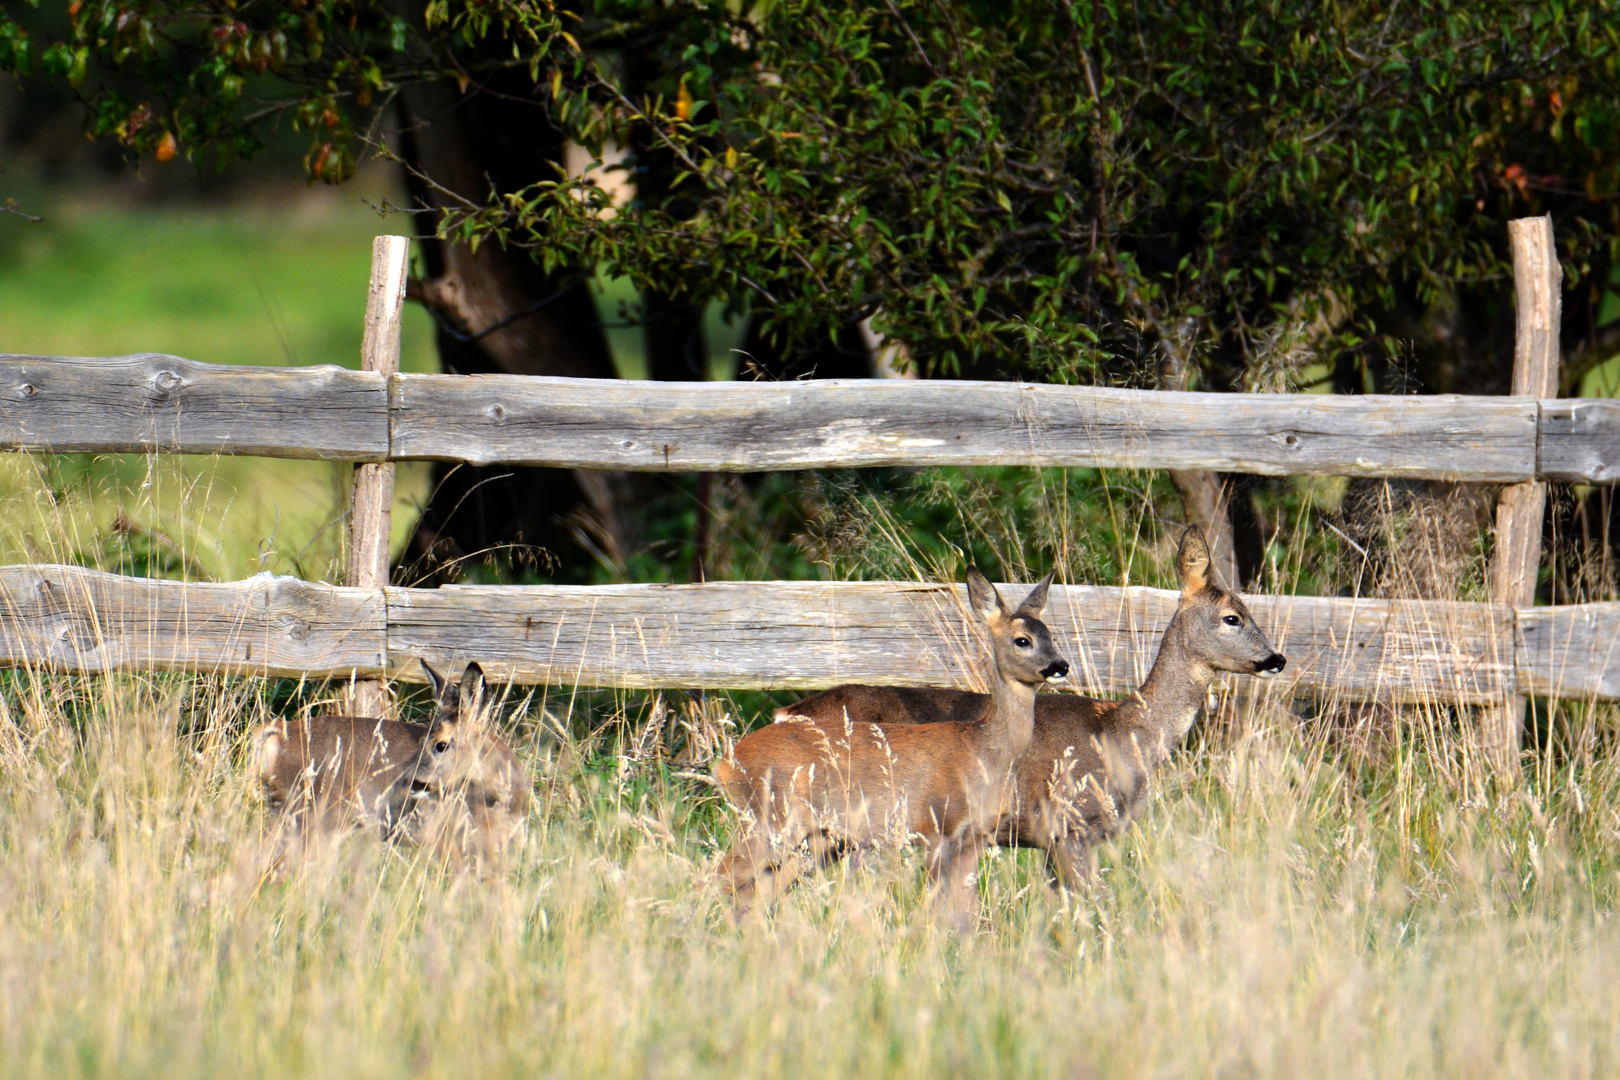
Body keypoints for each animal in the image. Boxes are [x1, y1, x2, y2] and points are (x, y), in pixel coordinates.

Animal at [254, 663, 531, 874]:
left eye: (441, 744)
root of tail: (275, 734)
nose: (413, 782)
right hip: (317, 815)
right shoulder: (449, 840)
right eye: (422, 740)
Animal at [712, 569, 1069, 932]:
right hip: (770, 820)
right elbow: (936, 905)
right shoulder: (937, 826)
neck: (986, 749)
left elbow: (963, 912)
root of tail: (725, 764)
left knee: (755, 892)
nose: (1060, 666)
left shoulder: (977, 836)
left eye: (1051, 635)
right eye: (1022, 640)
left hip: (812, 838)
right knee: (719, 877)